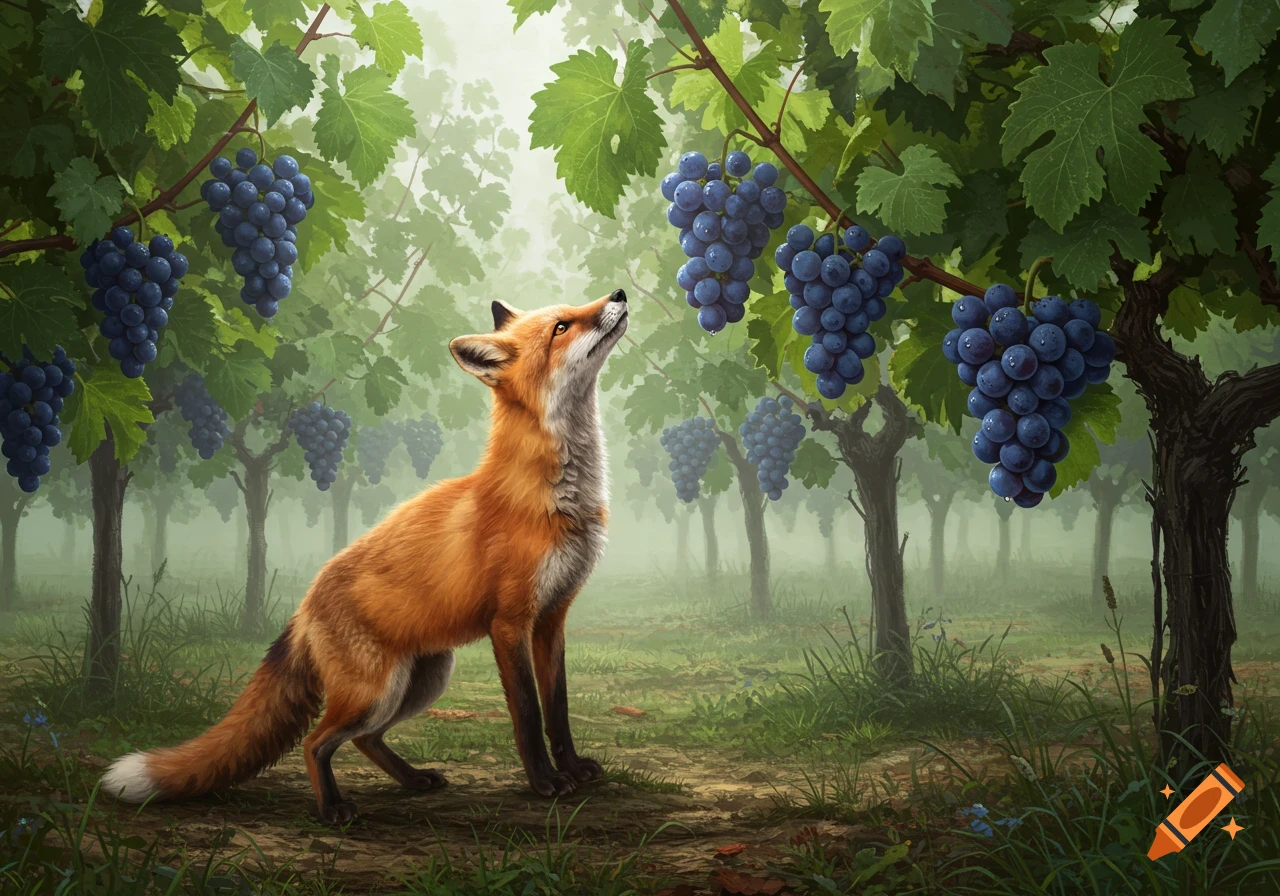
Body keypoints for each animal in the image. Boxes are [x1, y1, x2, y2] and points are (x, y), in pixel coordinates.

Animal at [101, 289, 630, 824]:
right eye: (561, 327)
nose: (620, 294)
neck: (553, 496)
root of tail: (304, 606)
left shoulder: (552, 618)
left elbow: (558, 709)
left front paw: (574, 768)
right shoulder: (510, 622)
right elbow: (527, 713)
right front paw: (545, 782)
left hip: (423, 679)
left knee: (365, 740)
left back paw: (413, 780)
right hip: (377, 691)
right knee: (316, 741)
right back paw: (332, 808)